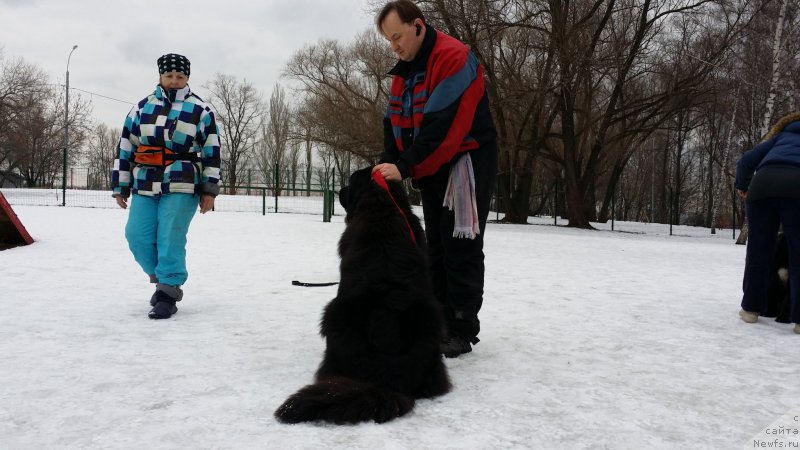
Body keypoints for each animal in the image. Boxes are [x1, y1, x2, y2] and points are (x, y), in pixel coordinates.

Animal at [274, 167, 450, 424]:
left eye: (350, 182)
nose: (340, 190)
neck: (380, 205)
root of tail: (385, 378)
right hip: (433, 320)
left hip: (331, 315)